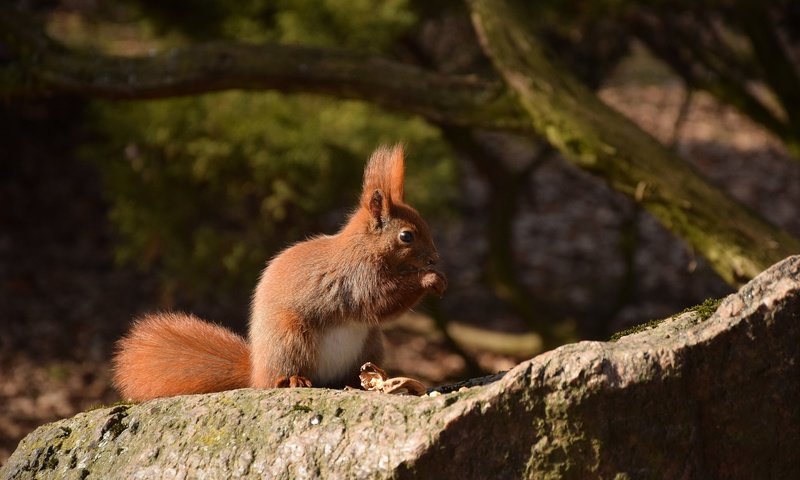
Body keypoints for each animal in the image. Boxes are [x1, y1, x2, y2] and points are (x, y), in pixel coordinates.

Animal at [111, 144, 446, 400]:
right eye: (406, 236)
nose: (435, 259)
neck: (363, 247)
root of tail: (256, 372)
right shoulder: (357, 279)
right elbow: (381, 301)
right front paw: (429, 280)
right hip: (291, 337)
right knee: (283, 375)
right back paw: (294, 380)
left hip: (371, 343)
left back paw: (368, 380)